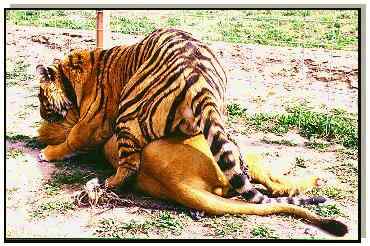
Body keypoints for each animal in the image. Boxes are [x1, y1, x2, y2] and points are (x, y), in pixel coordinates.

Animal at [36, 28, 324, 206]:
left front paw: (47, 152)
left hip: (129, 112)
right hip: (211, 119)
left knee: (129, 166)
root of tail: (198, 78)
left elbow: (73, 138)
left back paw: (108, 183)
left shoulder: (93, 122)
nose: (40, 113)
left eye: (40, 98)